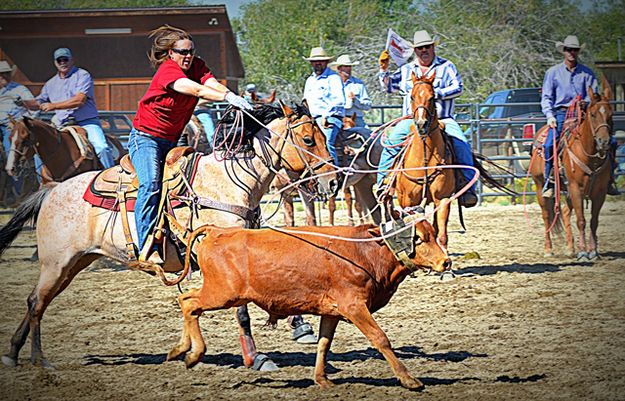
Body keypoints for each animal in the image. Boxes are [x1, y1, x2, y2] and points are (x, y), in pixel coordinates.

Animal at [0, 102, 336, 368]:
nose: (331, 182)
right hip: (56, 263)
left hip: (73, 264)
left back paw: (13, 353)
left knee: (39, 301)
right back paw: (39, 360)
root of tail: (52, 190)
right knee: (36, 302)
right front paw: (256, 358)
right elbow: (241, 310)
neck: (227, 183)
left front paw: (297, 325)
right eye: (308, 139)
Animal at [163, 220, 450, 390]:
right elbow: (380, 338)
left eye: (434, 234)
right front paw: (409, 379)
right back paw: (193, 354)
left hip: (221, 293)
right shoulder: (354, 306)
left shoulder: (332, 311)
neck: (366, 251)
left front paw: (322, 378)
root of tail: (219, 231)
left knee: (185, 300)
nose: (445, 262)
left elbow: (324, 344)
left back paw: (179, 350)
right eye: (419, 238)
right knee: (189, 304)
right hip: (223, 294)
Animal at [528, 77, 612, 258]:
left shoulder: (600, 192)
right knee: (546, 215)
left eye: (611, 114)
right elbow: (581, 221)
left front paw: (593, 251)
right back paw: (549, 249)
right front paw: (583, 252)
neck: (590, 156)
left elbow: (594, 221)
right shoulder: (575, 188)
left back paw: (569, 247)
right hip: (540, 185)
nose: (604, 142)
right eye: (593, 114)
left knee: (566, 212)